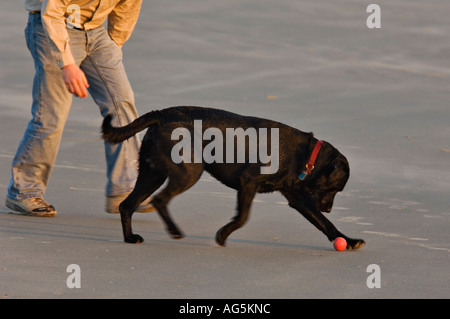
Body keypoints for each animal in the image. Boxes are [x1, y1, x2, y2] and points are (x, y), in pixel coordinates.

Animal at [102, 106, 366, 251]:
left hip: (152, 174)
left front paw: (348, 241)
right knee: (159, 200)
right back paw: (175, 231)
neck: (305, 155)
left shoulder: (298, 198)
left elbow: (325, 224)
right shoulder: (248, 183)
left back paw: (130, 238)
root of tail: (162, 114)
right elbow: (242, 217)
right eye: (334, 189)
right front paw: (222, 235)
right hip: (189, 172)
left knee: (127, 205)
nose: (329, 208)